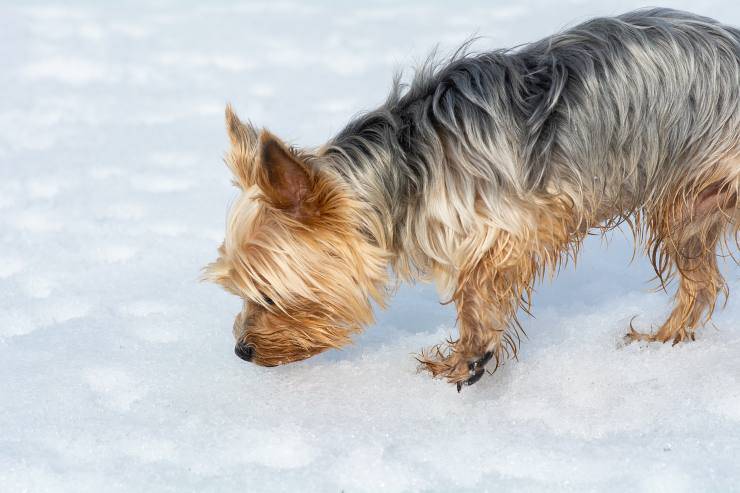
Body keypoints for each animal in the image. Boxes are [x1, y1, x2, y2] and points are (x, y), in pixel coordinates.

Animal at [204, 8, 740, 388]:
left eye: (269, 294)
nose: (241, 351)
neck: (405, 166)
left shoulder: (511, 226)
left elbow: (475, 290)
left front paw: (468, 360)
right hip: (690, 205)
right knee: (703, 281)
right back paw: (662, 341)